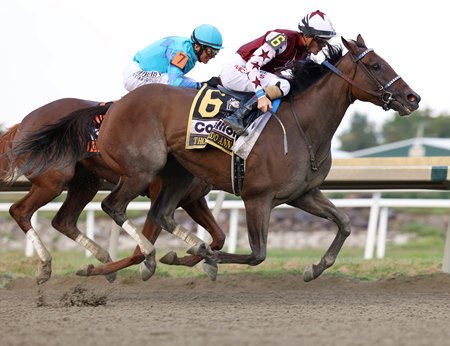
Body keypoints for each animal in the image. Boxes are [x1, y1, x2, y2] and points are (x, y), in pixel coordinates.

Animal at [0, 98, 225, 286]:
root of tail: (23, 122)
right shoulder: (159, 198)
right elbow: (139, 252)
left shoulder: (192, 200)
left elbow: (219, 237)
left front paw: (199, 259)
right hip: (52, 180)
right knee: (19, 211)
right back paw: (46, 265)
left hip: (86, 183)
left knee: (63, 220)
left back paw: (101, 256)